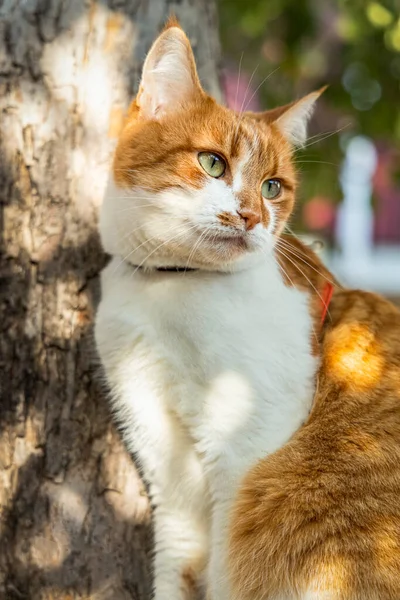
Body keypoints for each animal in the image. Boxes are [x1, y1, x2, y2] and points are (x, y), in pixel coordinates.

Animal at [94, 16, 328, 600]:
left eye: (272, 187)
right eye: (212, 162)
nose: (250, 216)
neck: (172, 287)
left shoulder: (248, 444)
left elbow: (227, 569)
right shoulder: (160, 445)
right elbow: (177, 553)